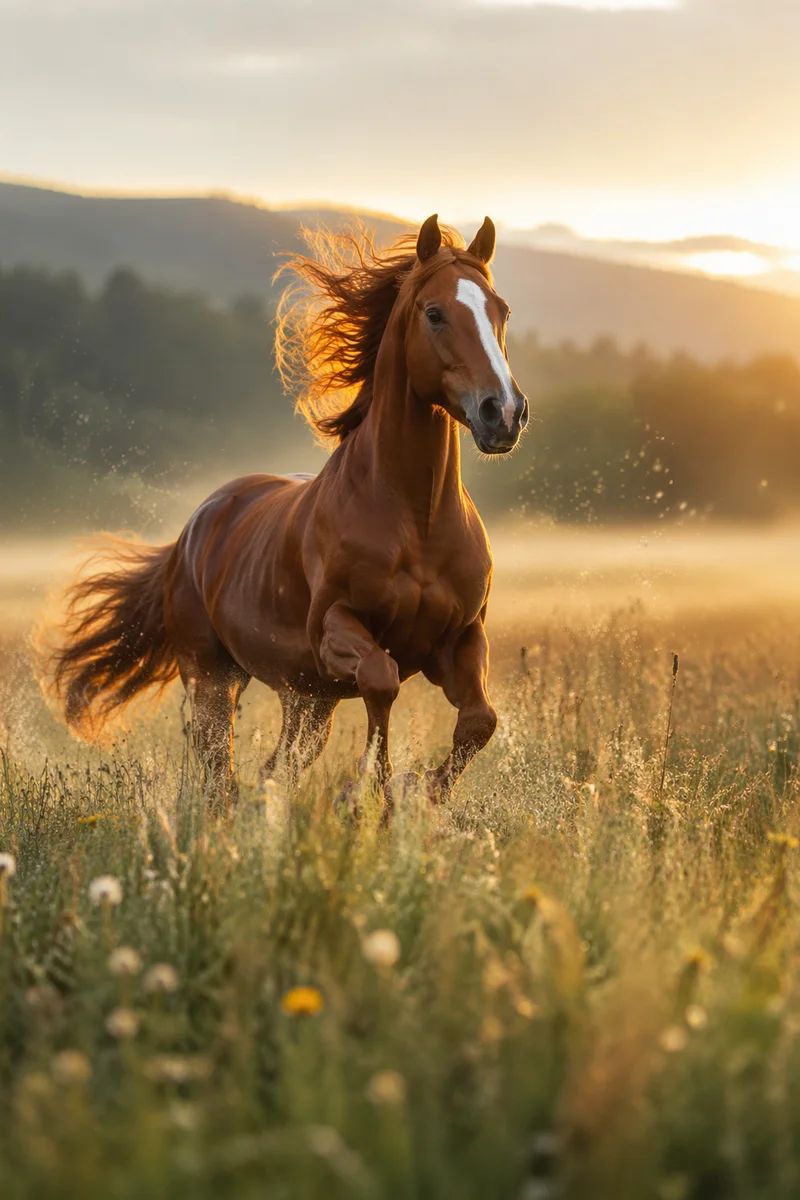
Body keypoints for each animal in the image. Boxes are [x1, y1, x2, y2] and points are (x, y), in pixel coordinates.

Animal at [45, 214, 528, 811]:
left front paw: (416, 793)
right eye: (435, 313)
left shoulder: (459, 638)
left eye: (501, 310)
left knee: (277, 767)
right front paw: (373, 792)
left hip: (306, 698)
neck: (417, 520)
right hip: (214, 677)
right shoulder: (334, 631)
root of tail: (192, 530)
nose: (503, 413)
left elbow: (480, 720)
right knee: (220, 768)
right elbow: (383, 679)